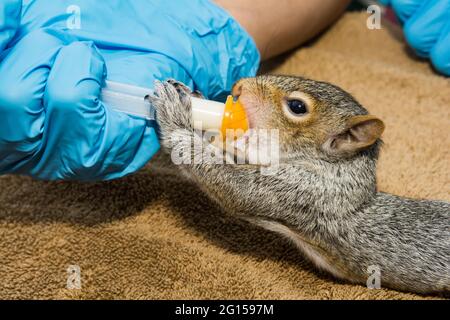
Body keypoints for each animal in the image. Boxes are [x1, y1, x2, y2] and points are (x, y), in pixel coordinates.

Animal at [146, 75, 448, 296]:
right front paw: (191, 98)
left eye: (297, 107)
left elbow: (234, 186)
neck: (339, 169)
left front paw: (176, 116)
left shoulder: (307, 193)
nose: (239, 85)